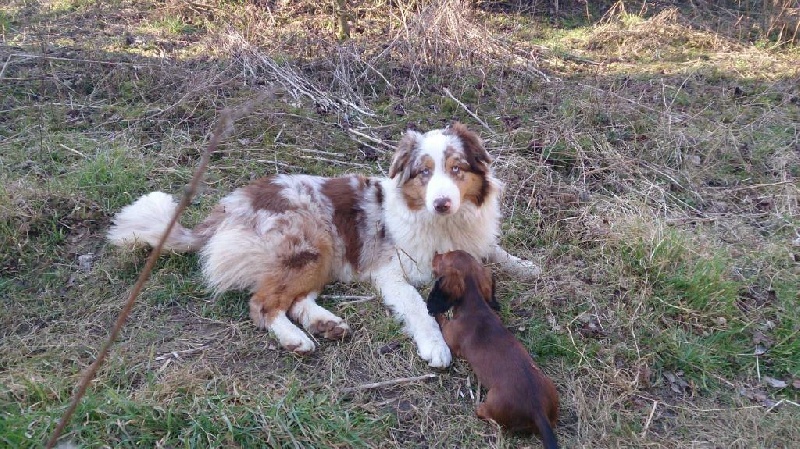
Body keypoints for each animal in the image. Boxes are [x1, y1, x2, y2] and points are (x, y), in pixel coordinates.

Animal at [428, 250, 560, 446]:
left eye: (444, 257)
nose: (435, 254)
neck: (476, 307)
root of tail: (538, 411)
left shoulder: (449, 335)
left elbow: (440, 319)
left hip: (493, 402)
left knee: (486, 414)